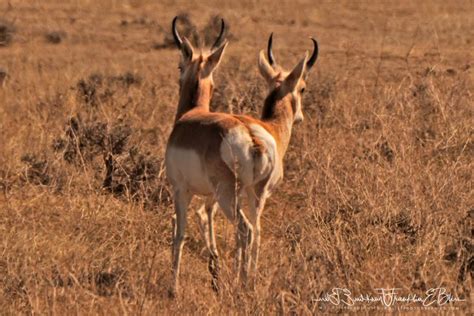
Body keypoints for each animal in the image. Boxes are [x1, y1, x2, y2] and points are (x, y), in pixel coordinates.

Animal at [167, 27, 318, 296]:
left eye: (303, 88)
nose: (300, 117)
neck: (190, 117)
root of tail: (251, 137)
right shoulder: (210, 198)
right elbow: (204, 219)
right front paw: (217, 274)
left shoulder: (181, 190)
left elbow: (180, 233)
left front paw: (173, 288)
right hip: (253, 194)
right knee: (255, 232)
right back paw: (249, 282)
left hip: (228, 196)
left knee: (245, 230)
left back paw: (241, 284)